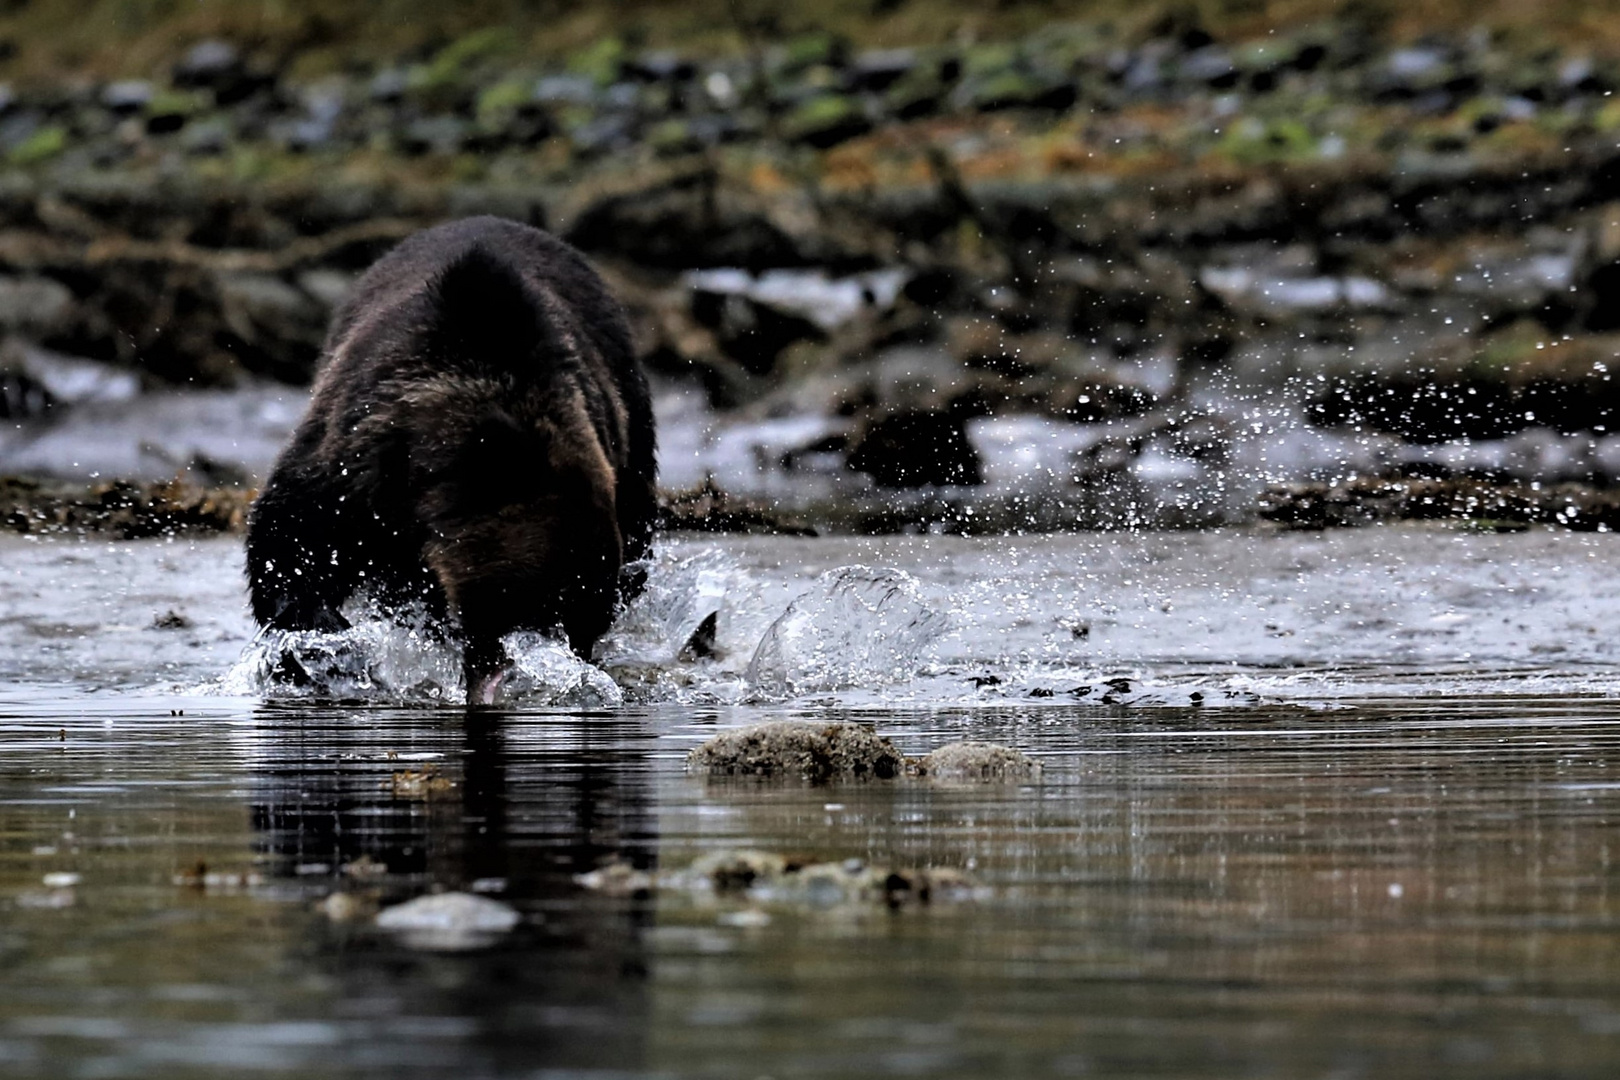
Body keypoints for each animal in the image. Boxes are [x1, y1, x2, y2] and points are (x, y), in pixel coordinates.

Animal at [243, 215, 654, 705]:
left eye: (584, 620)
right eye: (541, 600)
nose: (573, 662)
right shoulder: (353, 463)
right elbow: (291, 539)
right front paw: (320, 646)